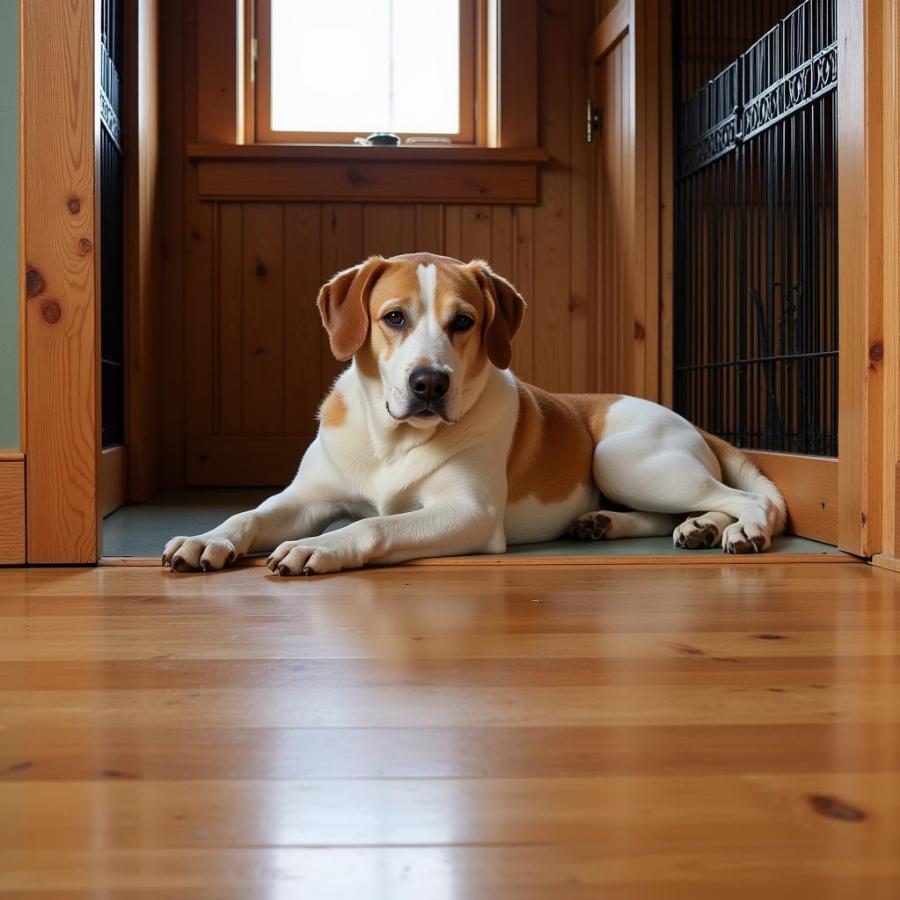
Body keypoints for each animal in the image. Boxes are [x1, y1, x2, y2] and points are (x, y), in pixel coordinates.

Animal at [163, 251, 788, 576]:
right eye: (393, 317)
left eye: (463, 321)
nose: (428, 383)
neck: (393, 440)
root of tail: (690, 421)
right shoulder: (306, 499)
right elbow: (248, 515)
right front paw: (206, 538)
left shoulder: (469, 512)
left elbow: (376, 524)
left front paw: (323, 547)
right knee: (678, 510)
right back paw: (650, 526)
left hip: (622, 458)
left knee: (751, 500)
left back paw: (737, 531)